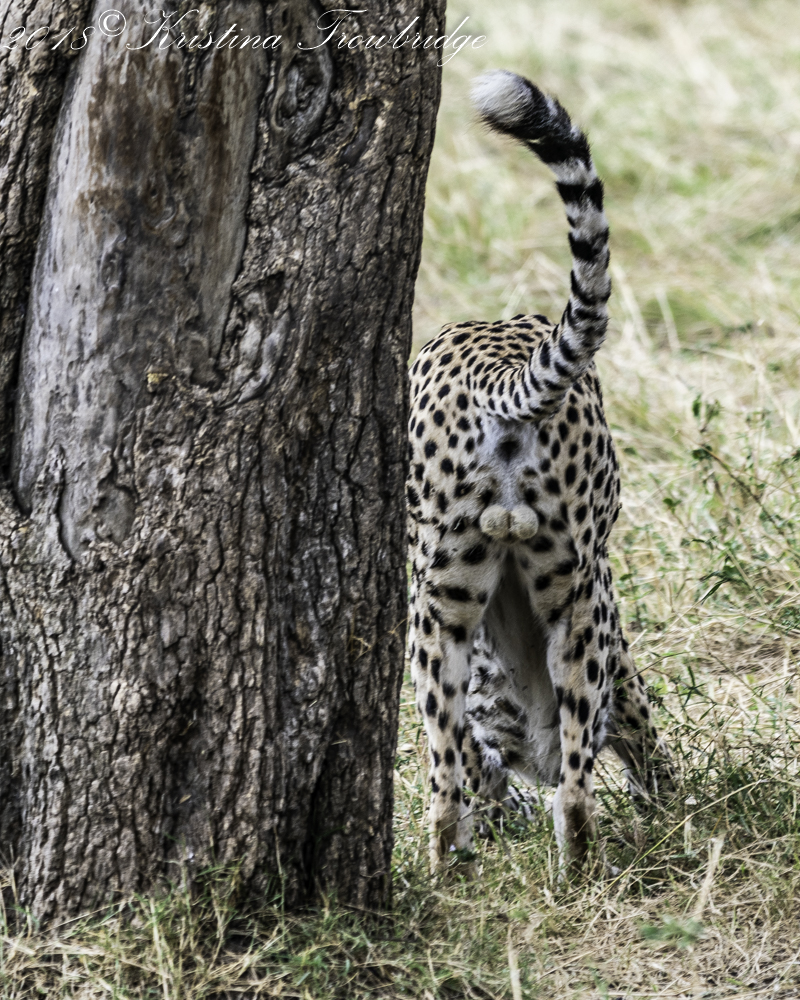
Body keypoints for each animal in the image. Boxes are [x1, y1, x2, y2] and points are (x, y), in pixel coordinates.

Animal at [406, 70, 673, 875]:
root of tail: (494, 364)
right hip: (561, 600)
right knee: (567, 792)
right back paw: (571, 871)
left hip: (461, 608)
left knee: (458, 786)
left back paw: (460, 877)